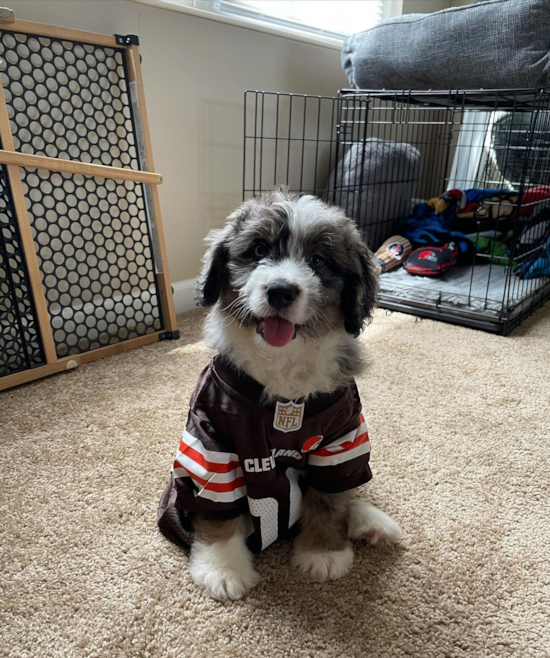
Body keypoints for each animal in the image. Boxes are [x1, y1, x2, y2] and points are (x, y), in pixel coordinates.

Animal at [157, 187, 404, 596]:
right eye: (259, 249)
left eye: (319, 260)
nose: (280, 291)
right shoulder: (211, 441)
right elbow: (219, 509)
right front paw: (223, 569)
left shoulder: (340, 441)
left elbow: (328, 500)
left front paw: (323, 553)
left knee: (348, 491)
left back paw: (371, 522)